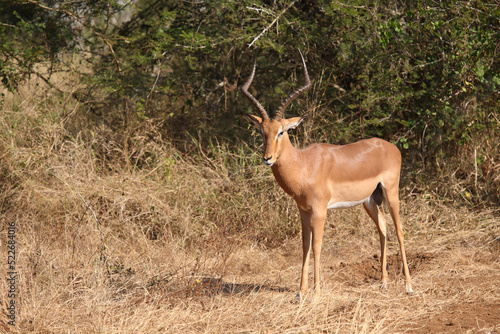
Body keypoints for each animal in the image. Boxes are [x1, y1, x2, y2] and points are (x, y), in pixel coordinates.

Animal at [240, 51, 412, 300]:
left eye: (281, 132)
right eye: (262, 132)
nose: (267, 158)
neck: (304, 165)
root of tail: (392, 147)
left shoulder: (320, 211)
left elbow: (317, 246)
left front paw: (316, 292)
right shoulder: (303, 210)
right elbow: (304, 245)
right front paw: (300, 292)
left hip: (391, 192)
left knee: (399, 230)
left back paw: (408, 286)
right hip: (370, 200)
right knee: (382, 227)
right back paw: (383, 282)